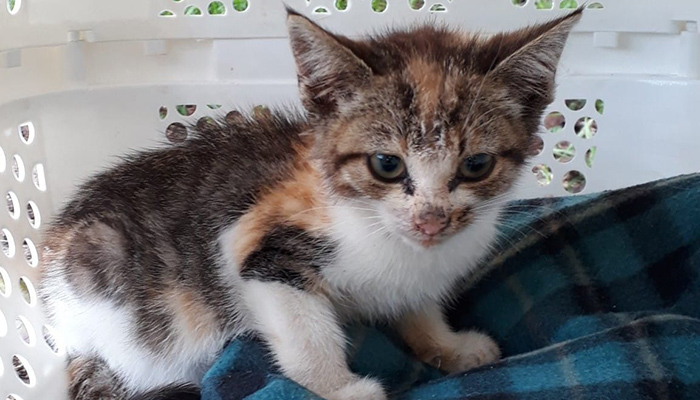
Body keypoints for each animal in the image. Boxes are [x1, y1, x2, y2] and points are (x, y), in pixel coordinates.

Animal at [39, 7, 582, 400]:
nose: (431, 221)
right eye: (387, 164)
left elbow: (418, 306)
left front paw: (446, 345)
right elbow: (306, 332)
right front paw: (341, 390)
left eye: (477, 165)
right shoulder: (257, 250)